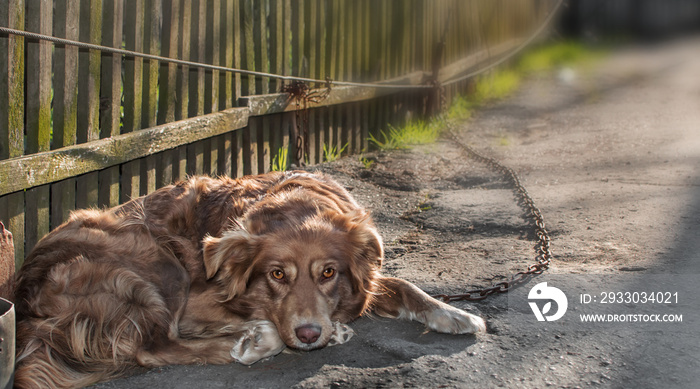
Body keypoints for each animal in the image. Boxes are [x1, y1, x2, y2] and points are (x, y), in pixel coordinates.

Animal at [13, 171, 484, 386]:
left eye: (328, 273)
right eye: (277, 274)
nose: (310, 334)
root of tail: (21, 294)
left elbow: (401, 285)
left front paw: (452, 314)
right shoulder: (201, 298)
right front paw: (266, 331)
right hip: (155, 258)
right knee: (151, 347)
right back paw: (252, 343)